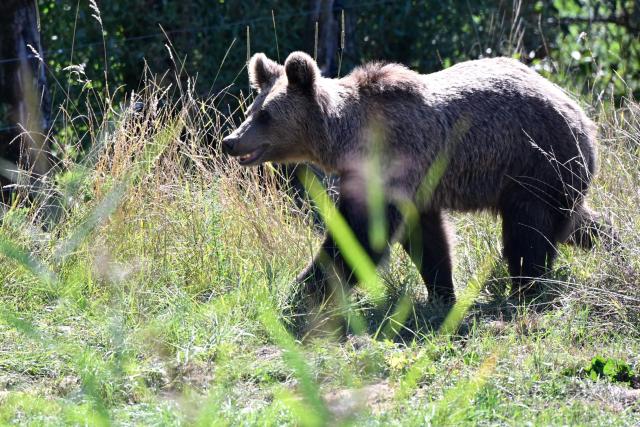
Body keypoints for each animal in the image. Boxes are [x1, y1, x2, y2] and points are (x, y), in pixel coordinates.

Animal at [222, 51, 610, 311]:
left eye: (266, 115)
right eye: (252, 110)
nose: (231, 140)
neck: (346, 136)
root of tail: (579, 112)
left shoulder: (393, 160)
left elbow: (361, 234)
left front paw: (303, 289)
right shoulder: (413, 185)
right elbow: (428, 240)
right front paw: (441, 293)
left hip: (533, 160)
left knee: (528, 231)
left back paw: (526, 287)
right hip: (549, 172)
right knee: (571, 220)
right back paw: (609, 241)